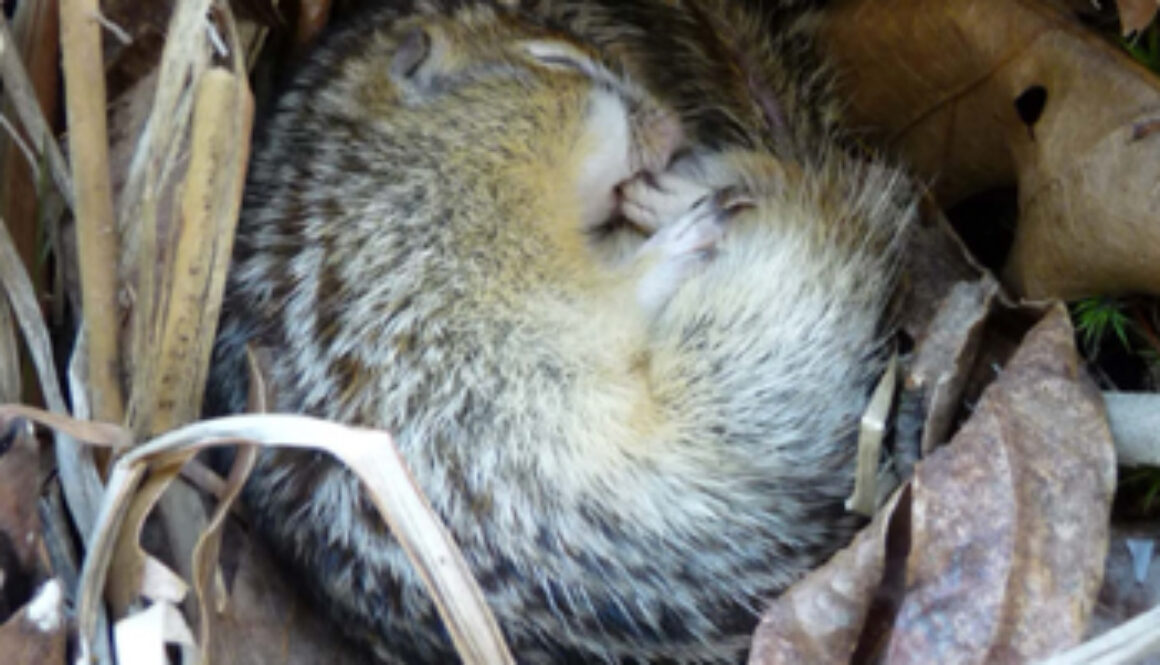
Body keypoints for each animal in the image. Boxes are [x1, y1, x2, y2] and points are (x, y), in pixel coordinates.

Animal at [208, 1, 915, 663]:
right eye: (559, 62)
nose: (673, 126)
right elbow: (617, 298)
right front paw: (674, 238)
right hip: (748, 349)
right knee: (814, 212)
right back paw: (695, 197)